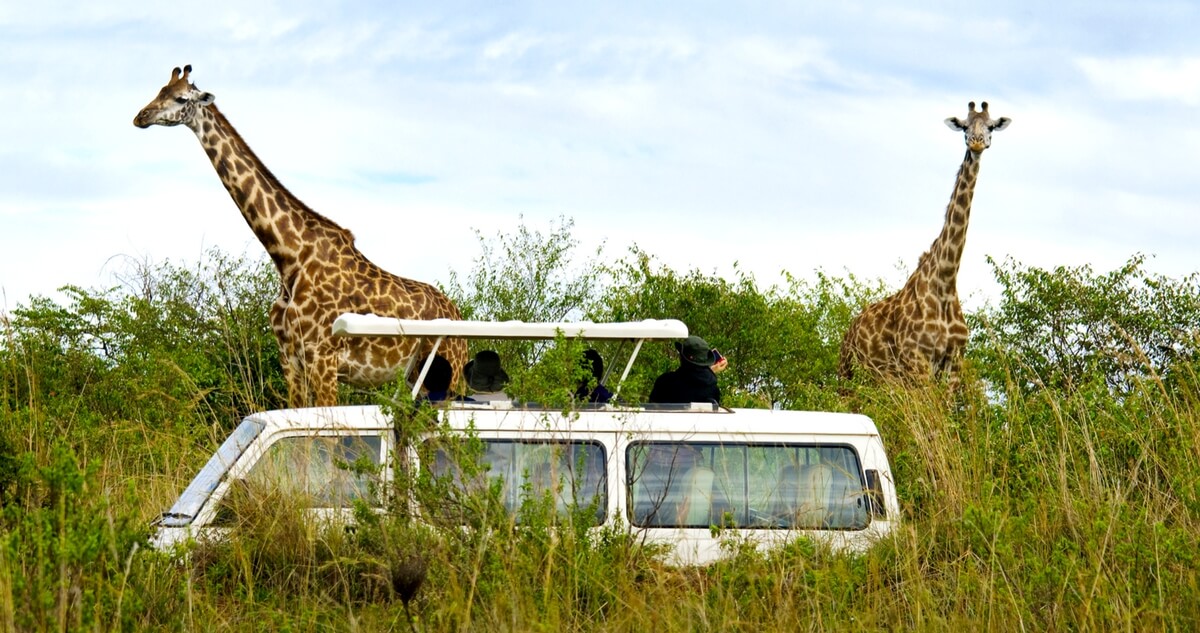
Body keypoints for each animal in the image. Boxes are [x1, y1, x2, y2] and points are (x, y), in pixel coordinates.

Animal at [135, 66, 463, 407]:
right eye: (160, 90)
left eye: (181, 98)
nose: (140, 116)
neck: (288, 257)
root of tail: (457, 310)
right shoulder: (290, 356)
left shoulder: (323, 358)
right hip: (418, 377)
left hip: (449, 371)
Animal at [840, 101, 1008, 386]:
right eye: (965, 126)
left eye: (991, 126)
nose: (976, 143)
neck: (946, 281)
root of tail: (848, 333)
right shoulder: (917, 361)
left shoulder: (953, 363)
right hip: (849, 375)